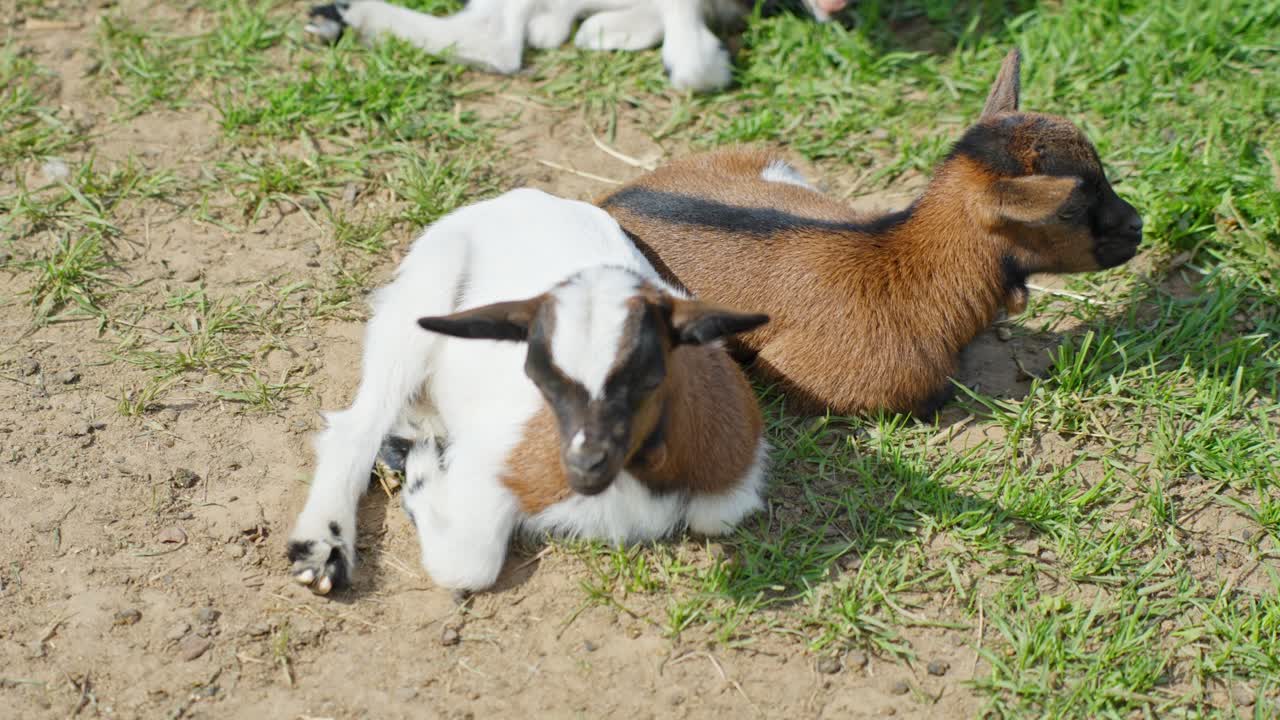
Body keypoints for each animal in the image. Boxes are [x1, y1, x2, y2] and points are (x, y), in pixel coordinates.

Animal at [287, 188, 770, 594]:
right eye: (540, 370)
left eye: (648, 374)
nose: (585, 463)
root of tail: (521, 197)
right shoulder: (489, 457)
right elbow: (469, 562)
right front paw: (421, 473)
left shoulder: (732, 490)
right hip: (426, 287)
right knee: (358, 423)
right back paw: (323, 547)